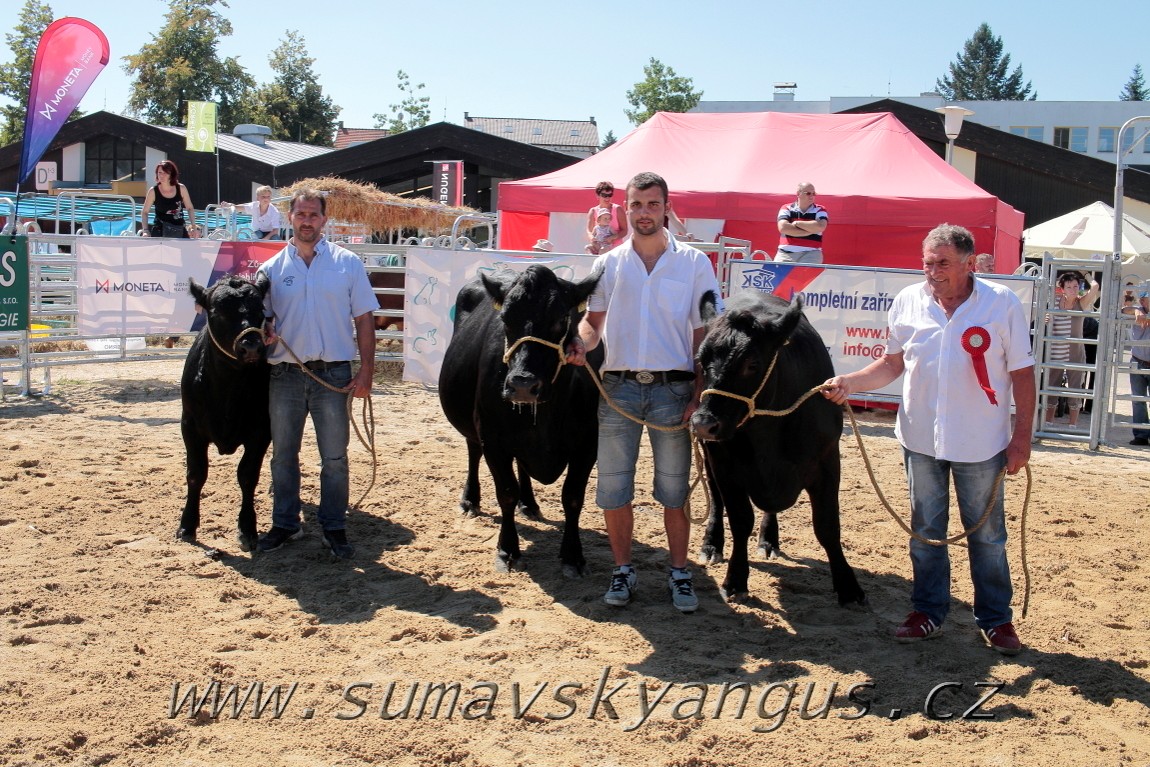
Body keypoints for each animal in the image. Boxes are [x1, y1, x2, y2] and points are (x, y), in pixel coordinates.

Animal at [174, 274, 271, 551]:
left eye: (260, 309)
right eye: (218, 311)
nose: (252, 347)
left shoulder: (262, 430)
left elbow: (248, 475)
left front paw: (247, 528)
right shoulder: (189, 426)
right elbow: (196, 474)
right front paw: (187, 525)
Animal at [437, 266, 602, 579]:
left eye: (562, 319)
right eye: (505, 319)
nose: (522, 384)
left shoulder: (588, 443)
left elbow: (573, 496)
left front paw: (573, 555)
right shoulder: (494, 440)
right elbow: (506, 493)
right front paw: (508, 550)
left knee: (523, 468)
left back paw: (530, 503)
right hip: (475, 428)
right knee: (473, 452)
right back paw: (470, 499)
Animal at [690, 289, 864, 607]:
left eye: (752, 364)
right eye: (701, 360)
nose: (704, 423)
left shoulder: (828, 461)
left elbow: (827, 526)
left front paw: (848, 586)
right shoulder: (725, 465)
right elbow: (740, 519)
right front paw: (735, 579)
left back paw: (769, 539)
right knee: (716, 500)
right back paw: (711, 545)